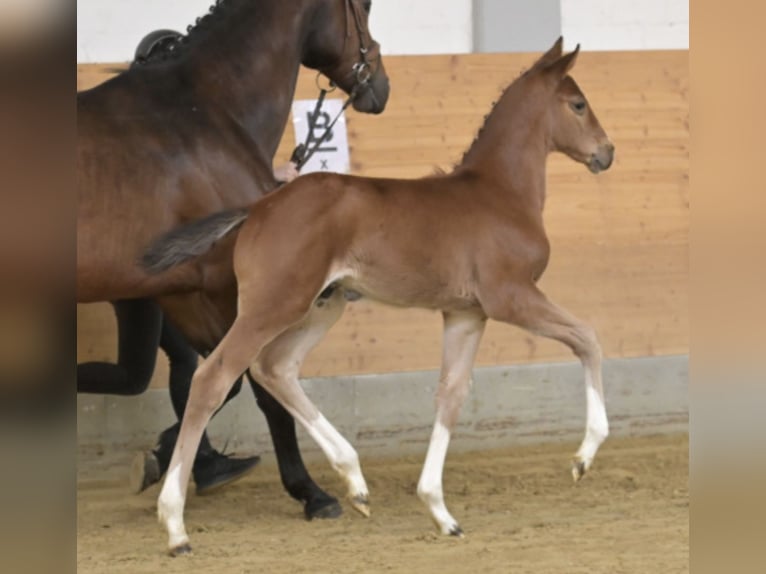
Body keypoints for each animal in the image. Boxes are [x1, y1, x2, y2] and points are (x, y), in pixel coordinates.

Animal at [77, 0, 390, 518]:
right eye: (364, 7)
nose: (380, 87)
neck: (206, 112)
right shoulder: (231, 290)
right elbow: (259, 387)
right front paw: (311, 492)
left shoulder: (183, 292)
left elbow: (215, 383)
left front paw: (164, 461)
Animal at [143, 37, 614, 554]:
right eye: (578, 104)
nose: (607, 152)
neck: (500, 192)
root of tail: (259, 207)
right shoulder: (511, 296)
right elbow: (587, 338)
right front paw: (584, 456)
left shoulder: (466, 314)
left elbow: (450, 394)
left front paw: (440, 511)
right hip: (273, 305)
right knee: (214, 377)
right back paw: (175, 525)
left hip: (321, 306)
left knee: (275, 368)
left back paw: (355, 481)